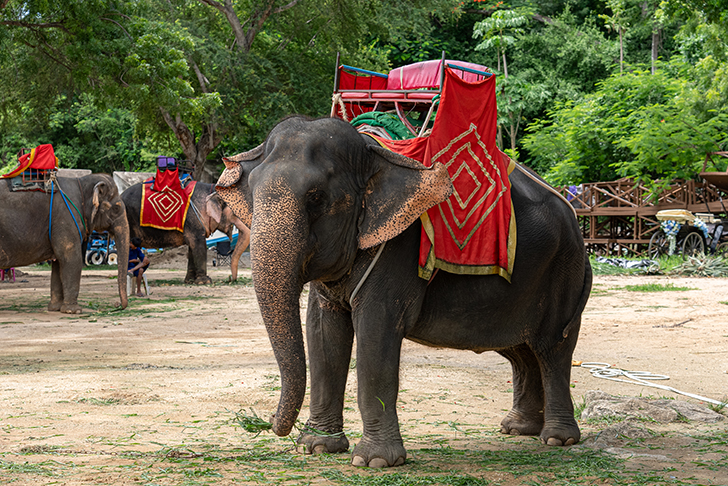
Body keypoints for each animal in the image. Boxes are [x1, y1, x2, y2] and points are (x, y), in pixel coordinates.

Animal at [0, 173, 129, 314]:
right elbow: (71, 258)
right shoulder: (65, 218)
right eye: (116, 208)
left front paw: (55, 308)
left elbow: (58, 263)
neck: (81, 183)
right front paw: (74, 311)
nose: (117, 305)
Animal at [122, 181, 250, 280]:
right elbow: (198, 244)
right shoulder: (192, 219)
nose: (230, 278)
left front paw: (190, 281)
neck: (212, 189)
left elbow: (192, 246)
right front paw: (205, 281)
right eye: (237, 211)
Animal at [215, 116, 592, 468]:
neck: (372, 155)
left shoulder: (398, 250)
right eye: (252, 191)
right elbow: (323, 332)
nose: (266, 421)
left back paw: (556, 439)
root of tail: (576, 219)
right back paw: (517, 429)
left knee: (552, 349)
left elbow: (376, 333)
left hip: (563, 271)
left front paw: (374, 462)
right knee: (521, 351)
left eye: (316, 197)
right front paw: (317, 447)